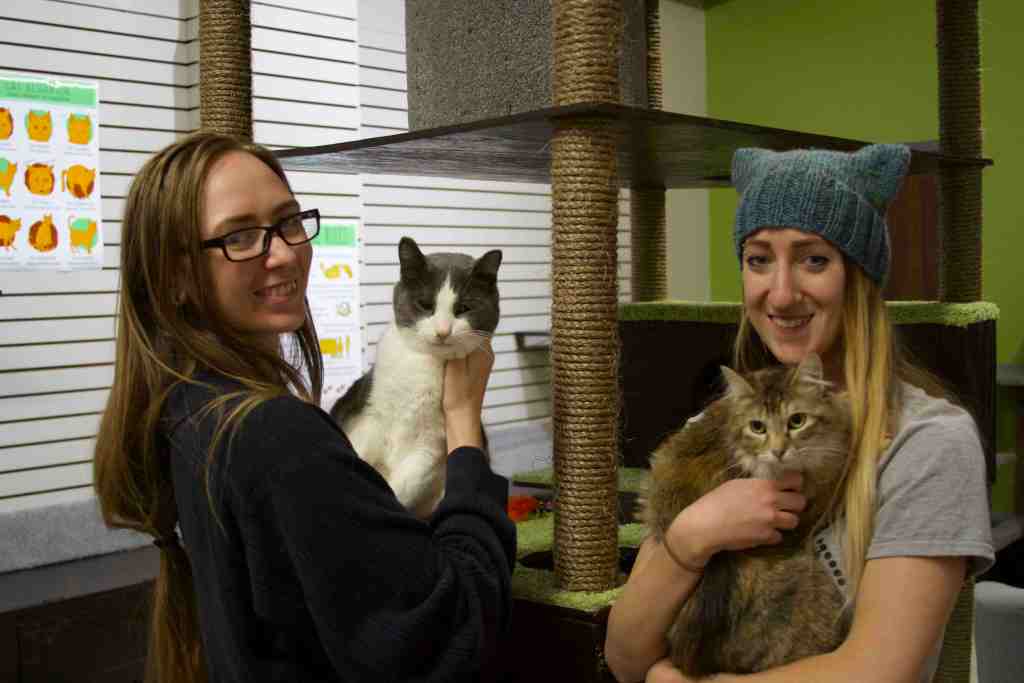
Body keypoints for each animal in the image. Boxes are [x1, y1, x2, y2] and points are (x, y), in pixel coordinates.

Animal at [329, 237, 501, 516]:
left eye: (463, 308)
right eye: (425, 305)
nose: (443, 331)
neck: (423, 364)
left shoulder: (432, 445)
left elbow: (406, 483)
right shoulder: (369, 417)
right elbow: (359, 452)